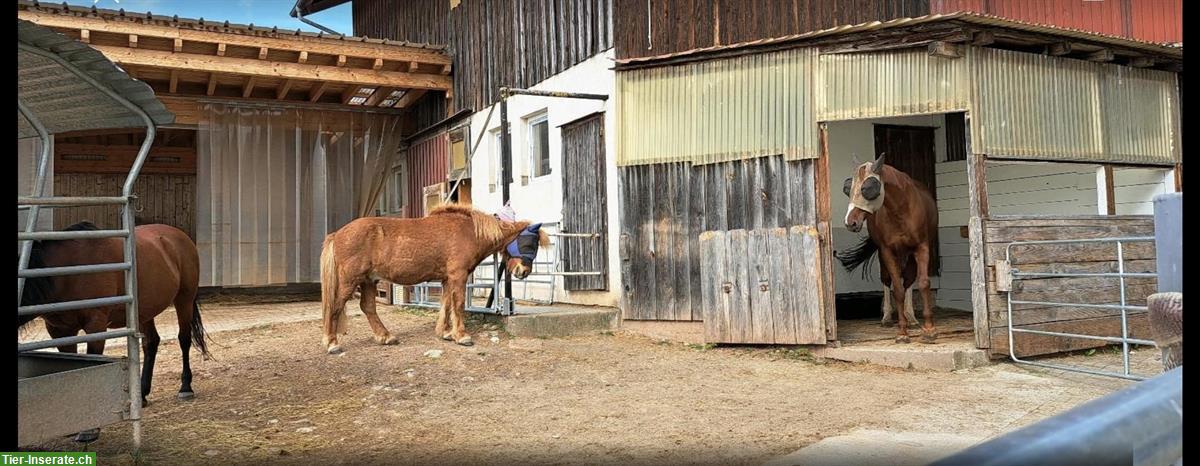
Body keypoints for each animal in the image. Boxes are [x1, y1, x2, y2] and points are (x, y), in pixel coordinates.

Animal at [20, 222, 211, 439]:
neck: (65, 272)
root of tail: (179, 236)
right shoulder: (59, 330)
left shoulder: (96, 324)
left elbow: (92, 362)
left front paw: (90, 429)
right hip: (144, 311)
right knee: (151, 343)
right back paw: (142, 394)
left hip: (184, 299)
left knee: (184, 340)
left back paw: (185, 387)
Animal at [316, 204, 547, 353]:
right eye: (529, 243)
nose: (523, 271)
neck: (469, 232)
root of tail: (337, 234)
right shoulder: (458, 275)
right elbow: (458, 304)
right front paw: (462, 336)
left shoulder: (446, 279)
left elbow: (446, 305)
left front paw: (445, 333)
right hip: (350, 281)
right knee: (335, 306)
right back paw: (332, 343)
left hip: (368, 281)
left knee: (368, 307)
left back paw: (385, 336)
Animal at [835, 156, 936, 341]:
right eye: (848, 189)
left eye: (868, 187)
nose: (850, 222)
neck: (901, 211)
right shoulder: (887, 251)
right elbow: (897, 288)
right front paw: (902, 332)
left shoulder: (921, 247)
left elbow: (923, 283)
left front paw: (929, 330)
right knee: (887, 279)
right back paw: (888, 317)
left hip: (909, 254)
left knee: (909, 279)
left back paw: (911, 317)